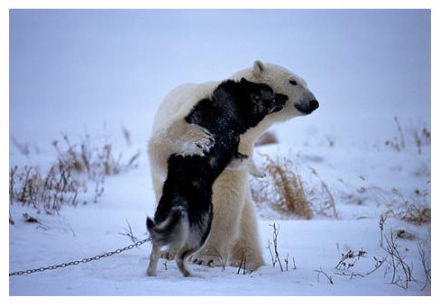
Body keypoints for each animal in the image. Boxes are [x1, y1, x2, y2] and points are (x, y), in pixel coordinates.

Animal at [150, 60, 318, 270]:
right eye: (293, 81)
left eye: (305, 82)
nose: (314, 102)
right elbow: (163, 142)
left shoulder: (241, 146)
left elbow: (227, 196)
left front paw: (208, 257)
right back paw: (171, 250)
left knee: (246, 220)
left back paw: (248, 261)